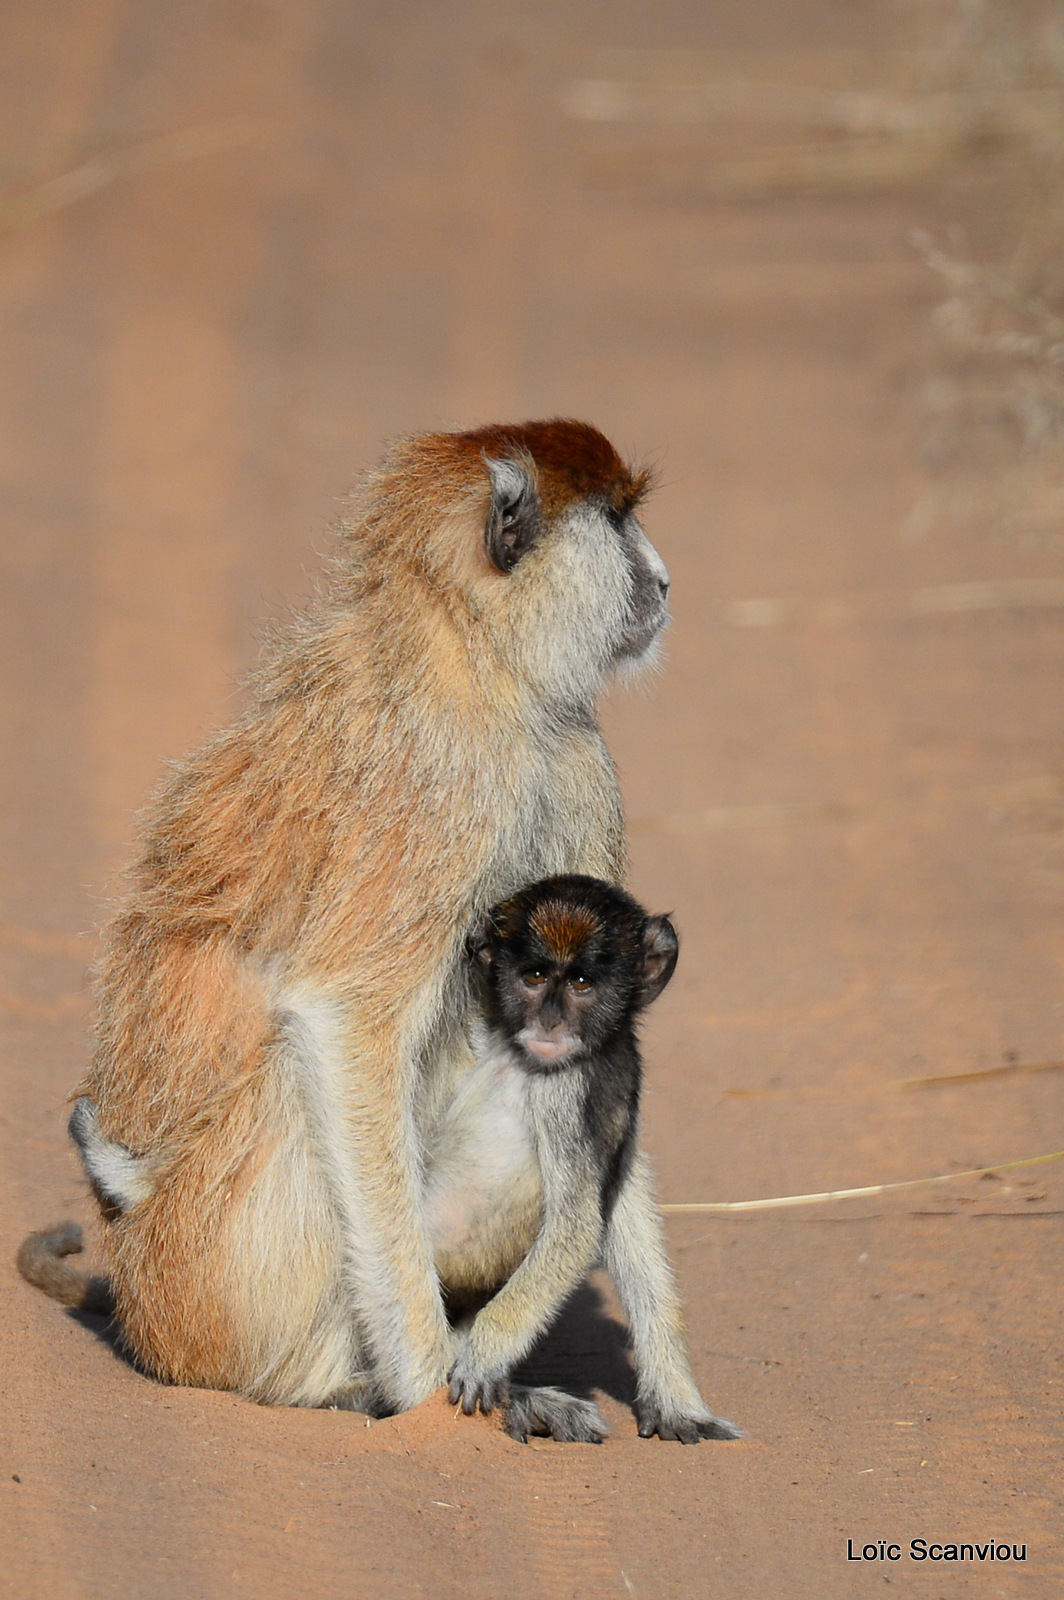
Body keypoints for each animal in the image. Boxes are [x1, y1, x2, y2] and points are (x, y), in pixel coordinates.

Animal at [432, 883, 739, 1446]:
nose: (550, 1021)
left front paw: (486, 1355)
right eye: (534, 977)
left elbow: (576, 1229)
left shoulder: (570, 1093)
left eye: (580, 983)